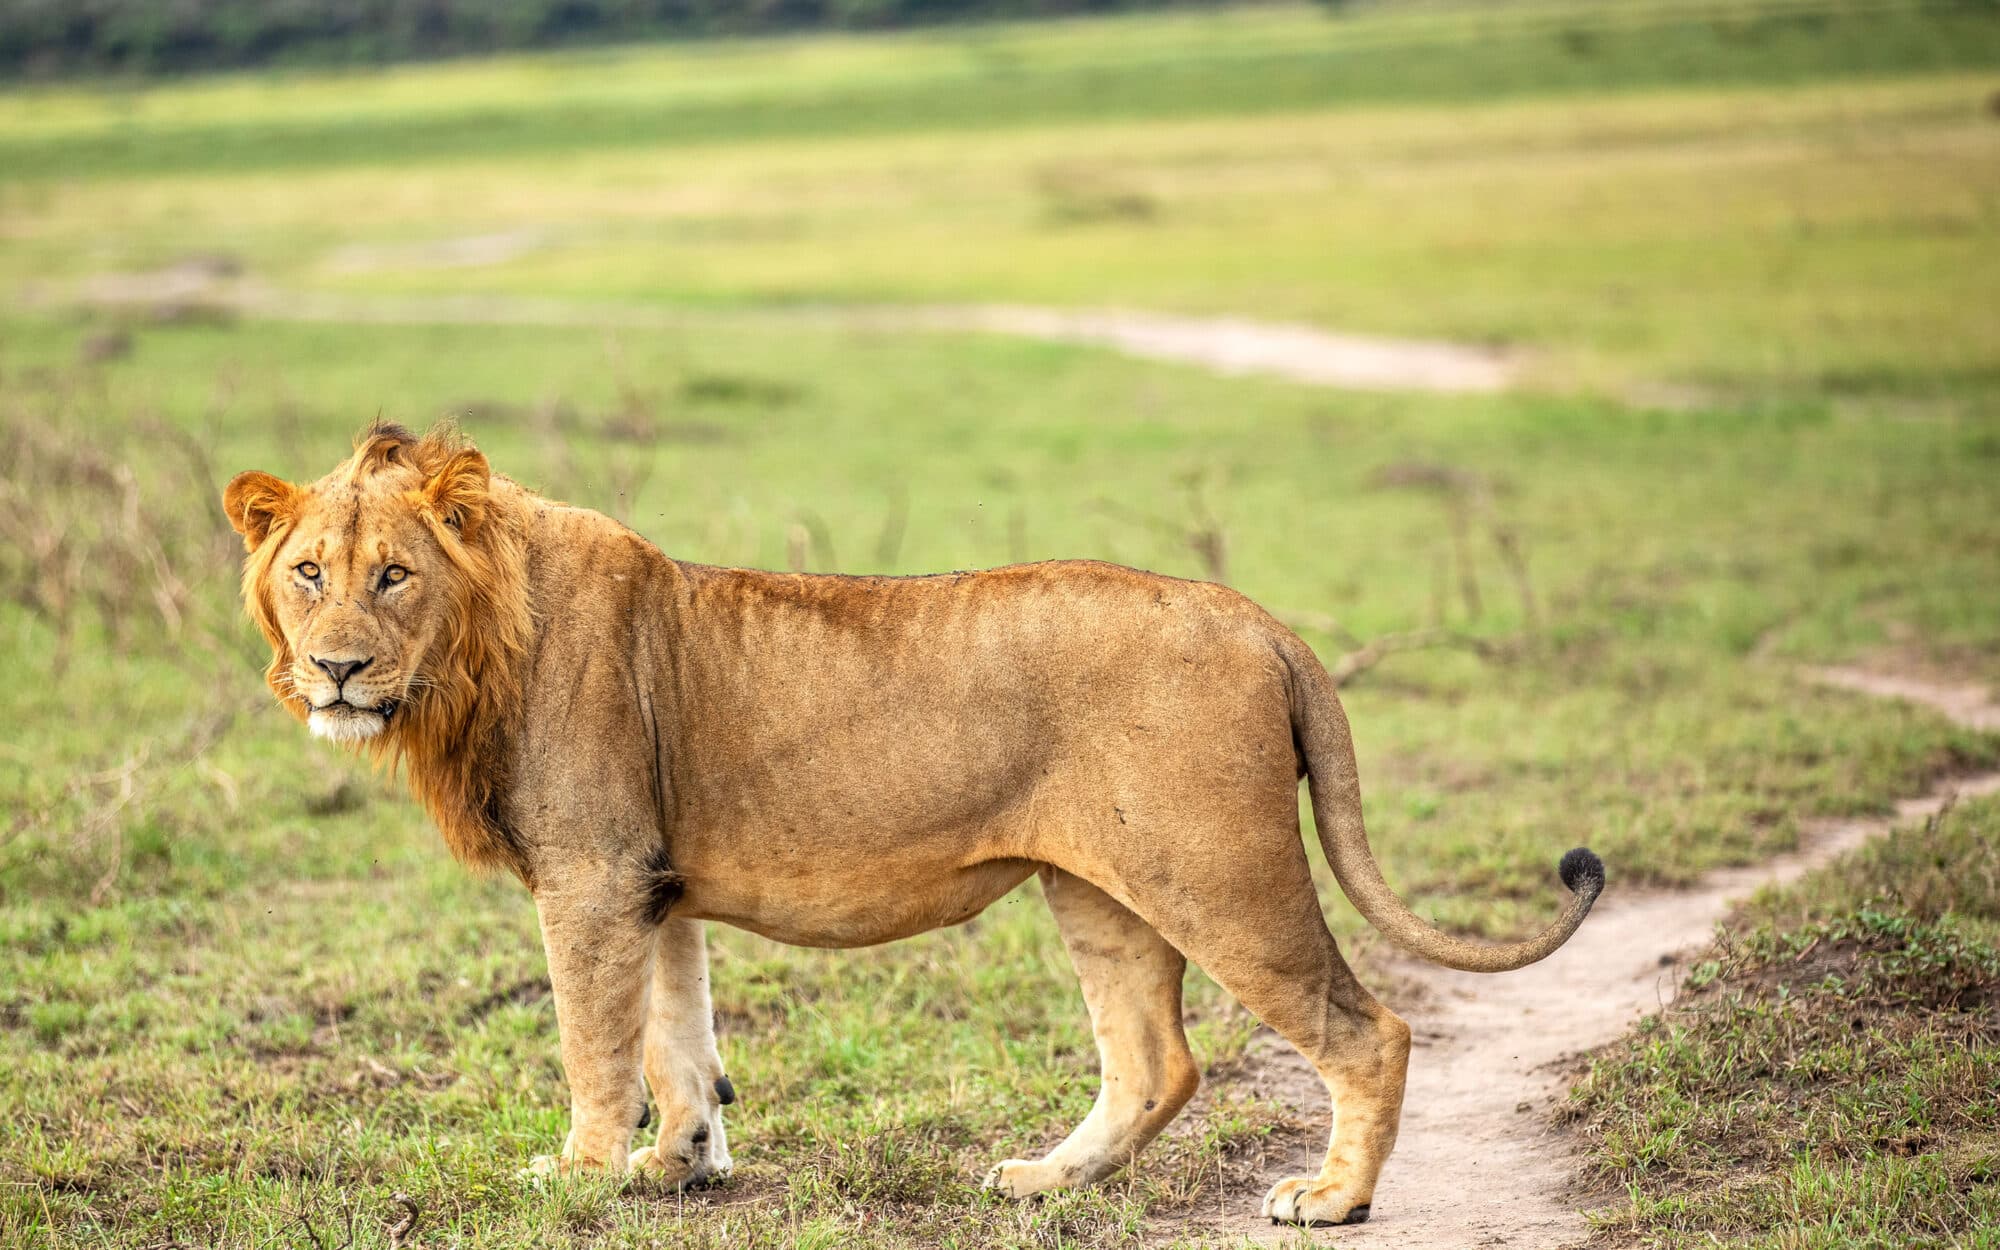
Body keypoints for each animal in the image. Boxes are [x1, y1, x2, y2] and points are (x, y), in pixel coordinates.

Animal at [223, 422, 1602, 1227]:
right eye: (308, 572)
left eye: (394, 573)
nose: (337, 669)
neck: (475, 654)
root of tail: (1256, 614)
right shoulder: (649, 882)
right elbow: (678, 1033)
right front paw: (680, 1163)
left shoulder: (591, 875)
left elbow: (594, 1042)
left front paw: (577, 1170)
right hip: (1096, 888)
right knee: (1155, 1060)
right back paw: (1043, 1178)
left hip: (1220, 875)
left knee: (1366, 1028)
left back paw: (1330, 1196)